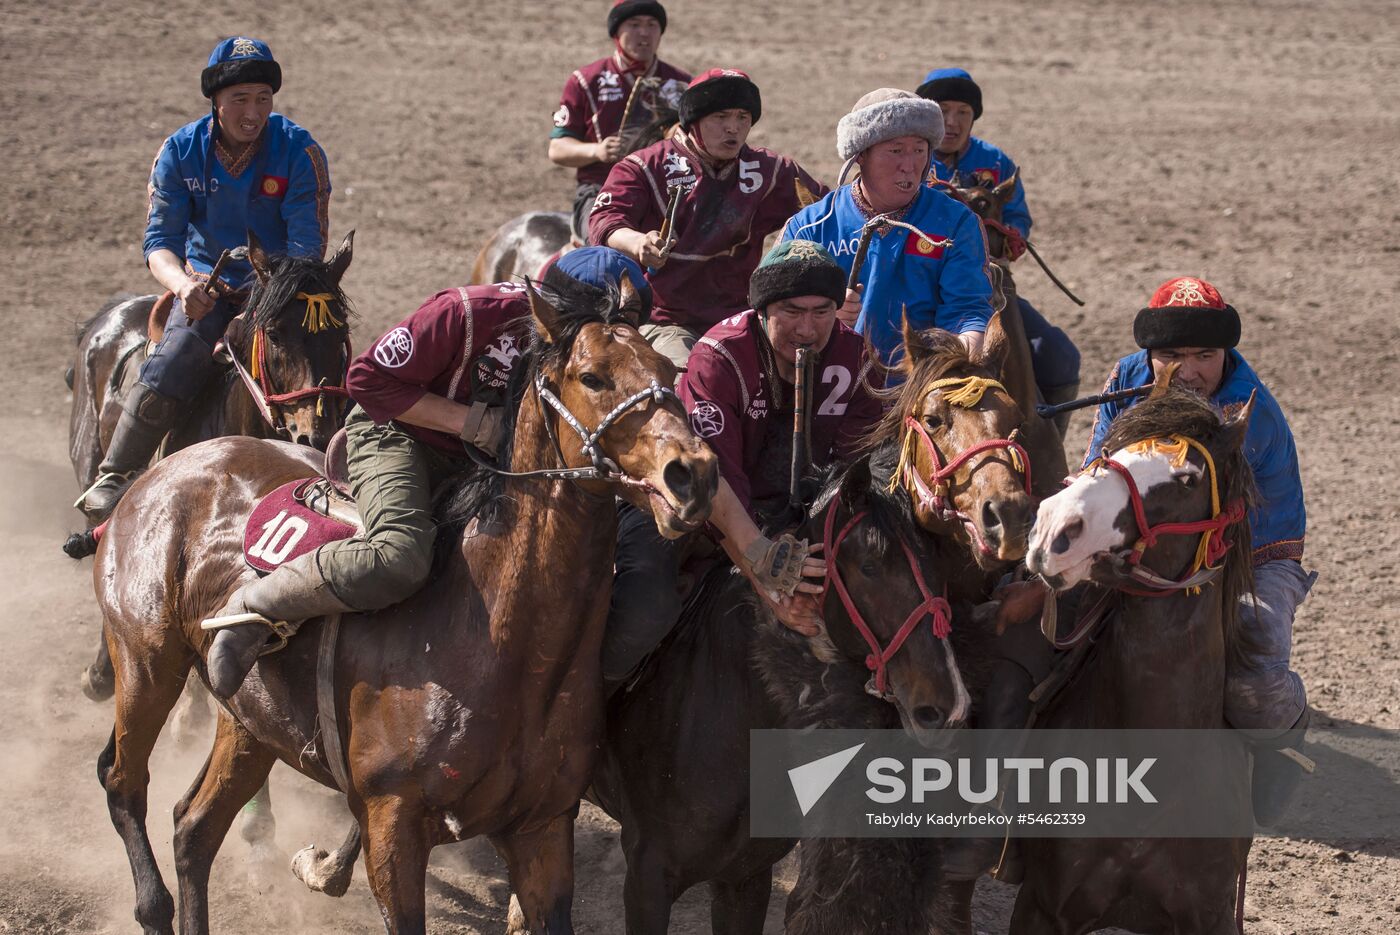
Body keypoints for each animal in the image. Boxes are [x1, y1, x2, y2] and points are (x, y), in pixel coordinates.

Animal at [95, 286, 722, 935]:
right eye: (593, 376)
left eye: (668, 371)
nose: (693, 473)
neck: (502, 646)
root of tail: (169, 467)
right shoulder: (392, 827)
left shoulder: (543, 830)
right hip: (146, 664)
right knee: (122, 780)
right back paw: (151, 903)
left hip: (249, 724)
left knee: (194, 828)